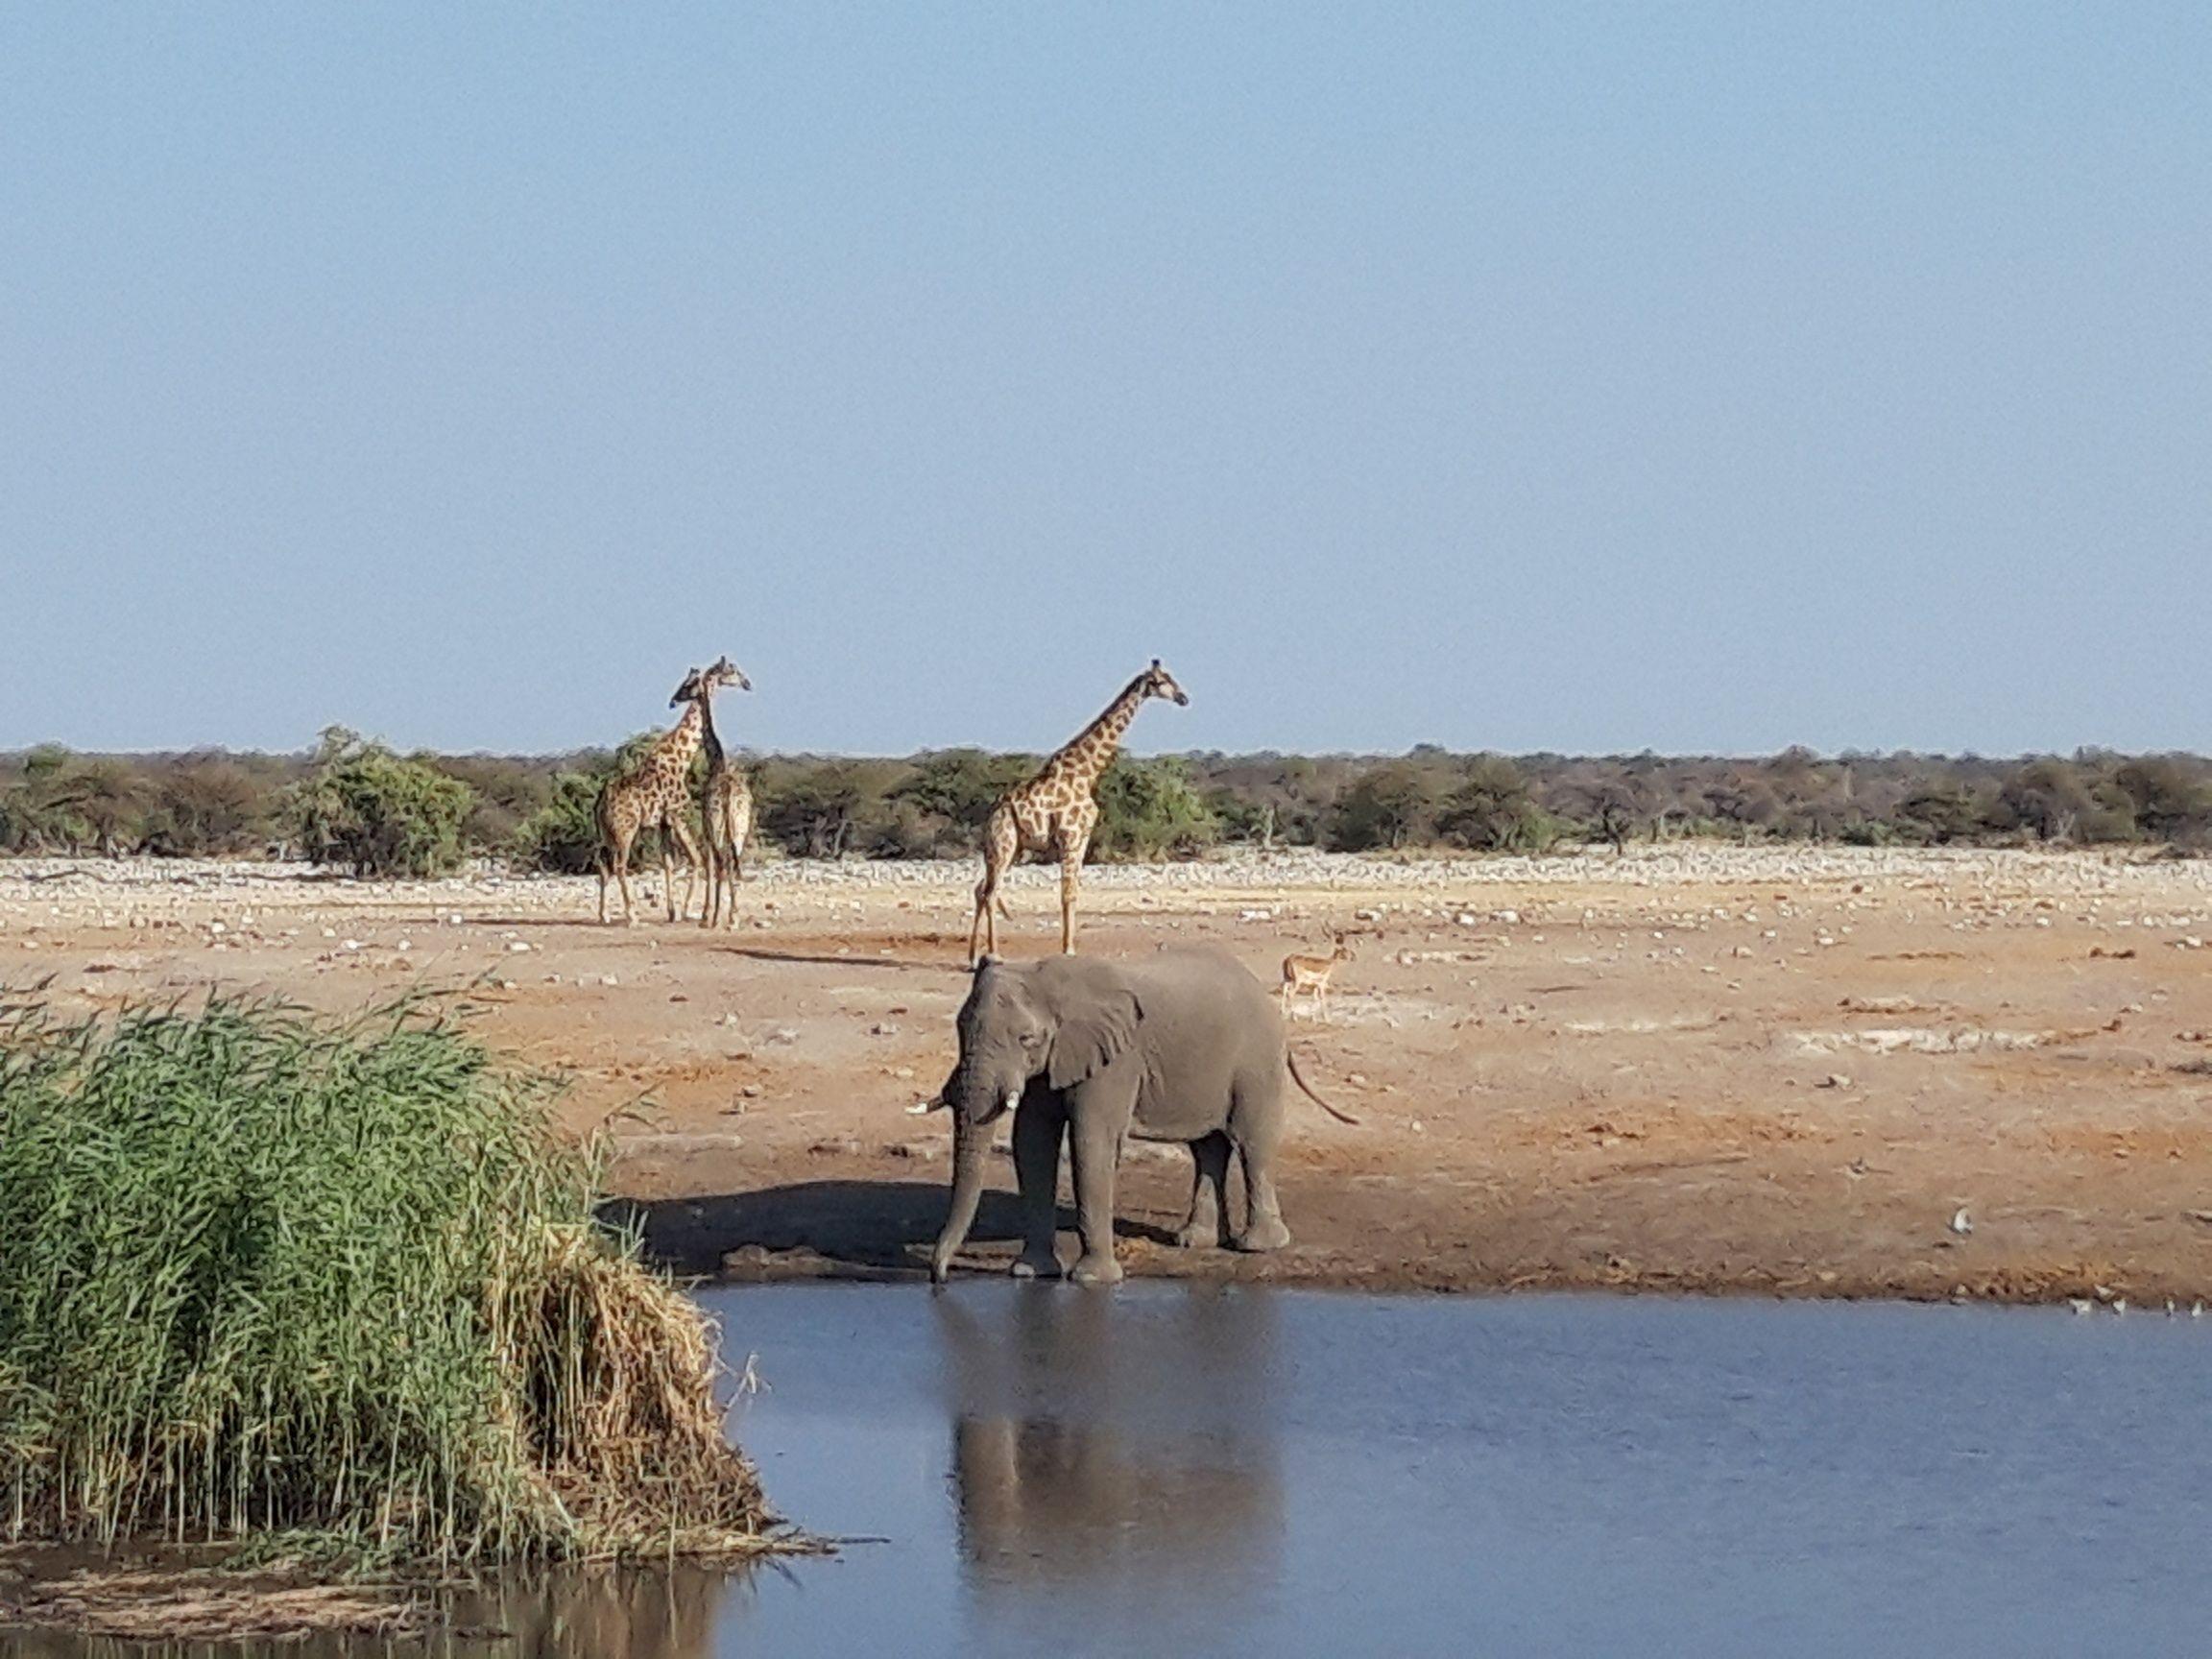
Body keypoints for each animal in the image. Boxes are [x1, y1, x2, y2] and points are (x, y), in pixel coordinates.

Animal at [597, 659, 743, 925]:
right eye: (732, 671)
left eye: (686, 684)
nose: (673, 701)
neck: (682, 757)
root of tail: (601, 803)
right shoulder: (679, 815)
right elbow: (697, 858)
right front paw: (689, 910)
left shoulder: (663, 823)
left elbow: (669, 863)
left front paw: (673, 912)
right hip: (626, 830)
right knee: (620, 865)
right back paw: (632, 916)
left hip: (607, 833)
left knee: (603, 864)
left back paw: (605, 915)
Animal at [911, 947, 1344, 1283]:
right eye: (960, 1028)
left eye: (1027, 1039)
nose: (939, 1278)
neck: (1048, 978)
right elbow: (1032, 1142)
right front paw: (1029, 1273)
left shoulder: (1114, 1060)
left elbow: (1091, 1141)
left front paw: (1091, 1279)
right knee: (1208, 1148)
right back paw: (1195, 1241)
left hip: (1256, 1062)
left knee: (1252, 1144)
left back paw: (1258, 1246)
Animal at [959, 654, 1185, 955]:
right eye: (1162, 681)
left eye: (1172, 678)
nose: (1184, 698)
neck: (1086, 772)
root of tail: (993, 812)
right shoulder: (1071, 836)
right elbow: (1067, 893)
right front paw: (1067, 949)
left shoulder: (1083, 838)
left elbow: (1075, 892)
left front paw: (1071, 947)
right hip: (1003, 844)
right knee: (990, 892)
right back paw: (993, 952)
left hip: (1010, 848)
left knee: (982, 889)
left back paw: (974, 956)